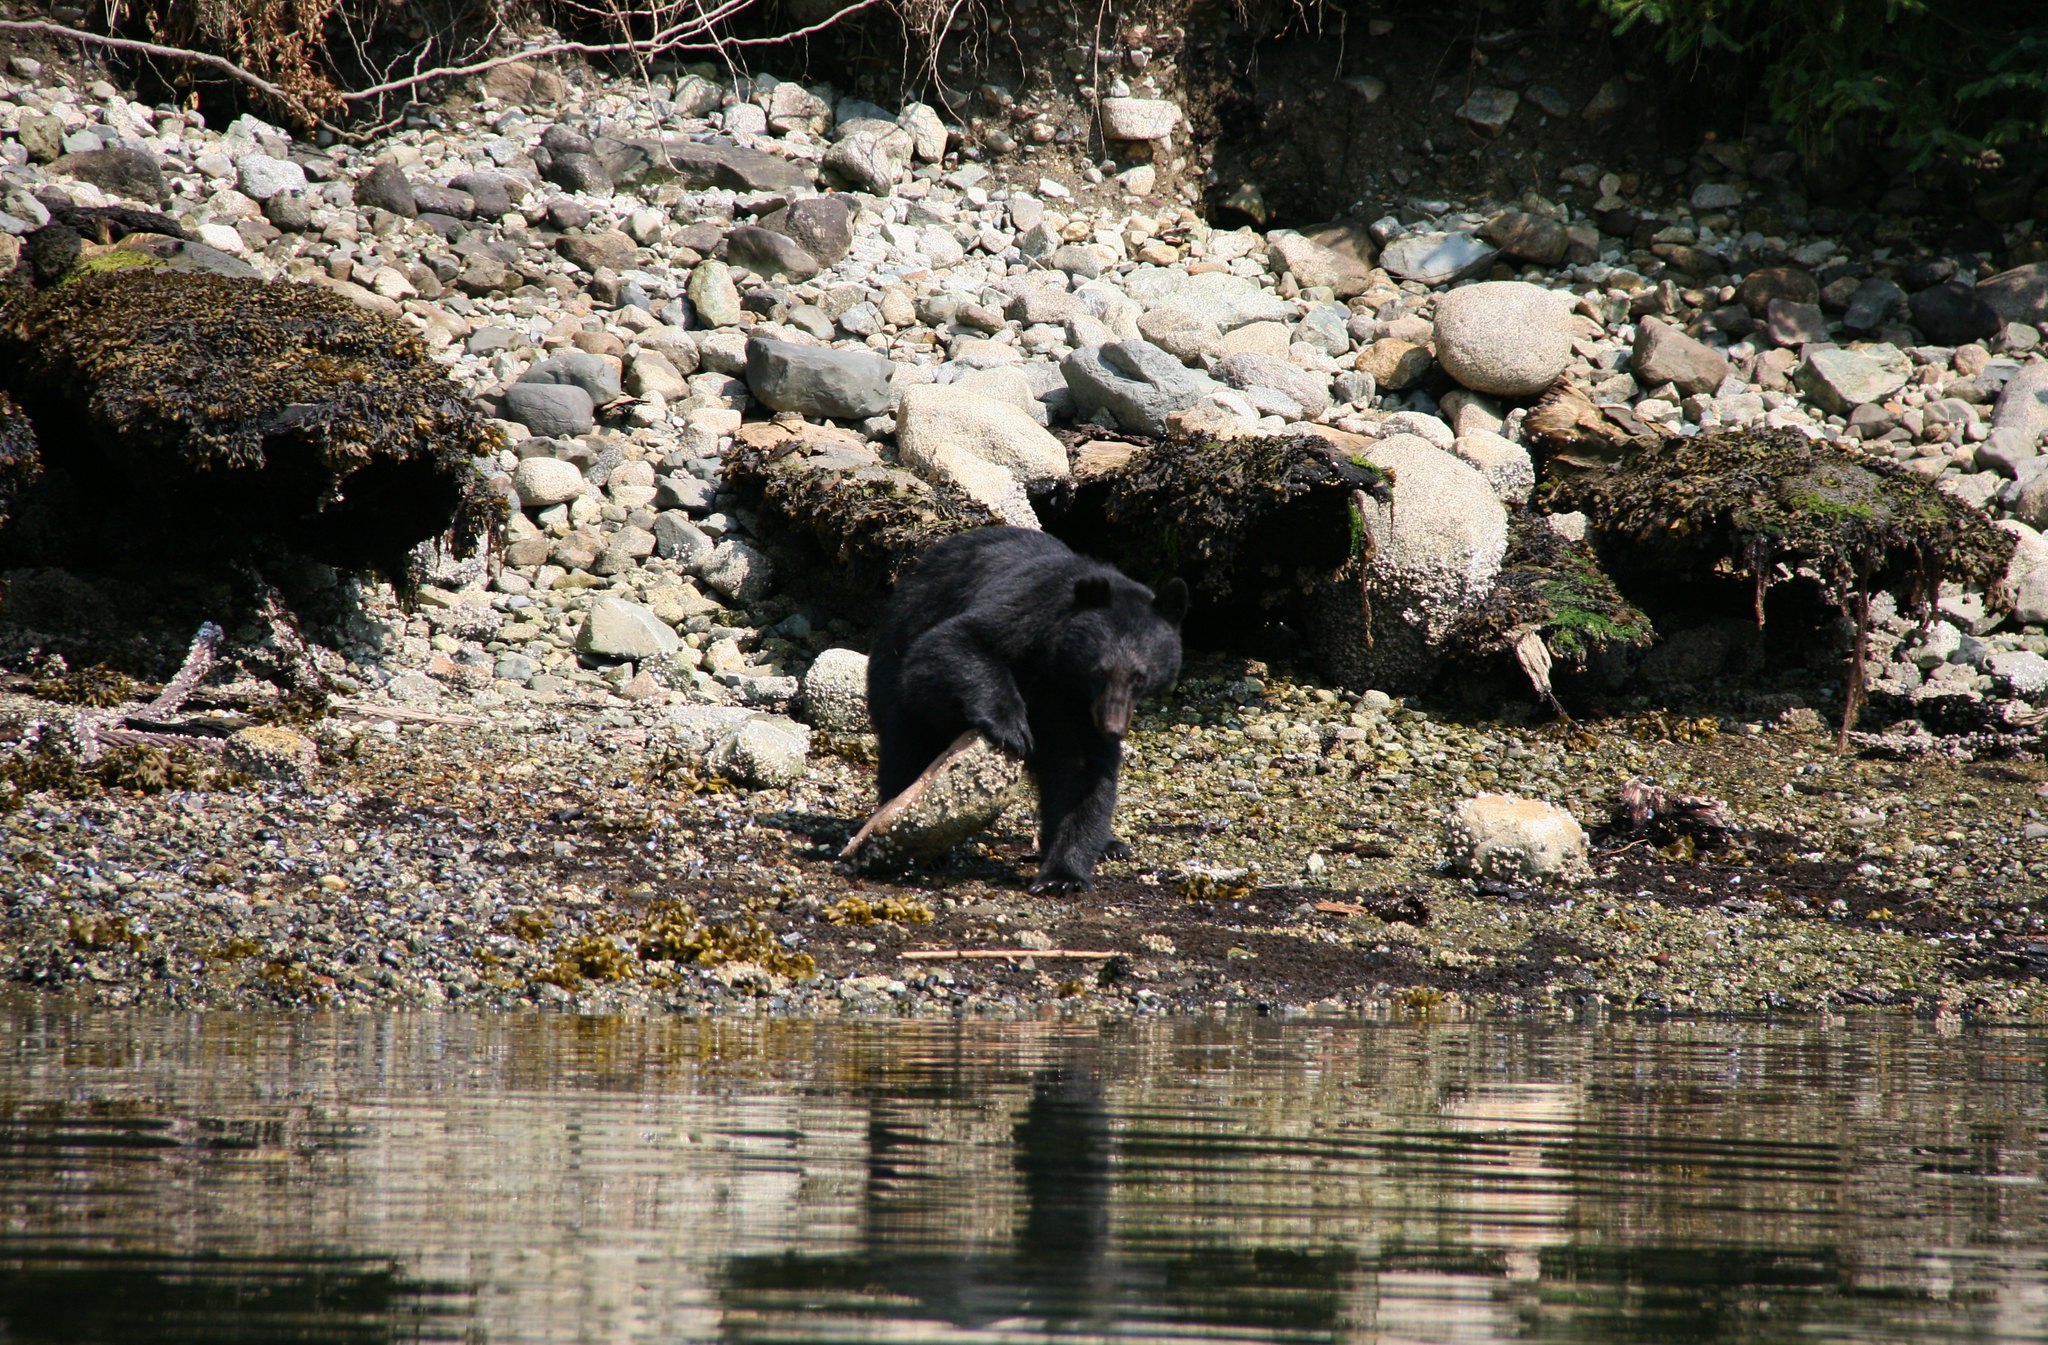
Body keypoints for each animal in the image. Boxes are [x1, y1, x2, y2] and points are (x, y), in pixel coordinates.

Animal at [864, 524, 1187, 892]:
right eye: (1099, 671)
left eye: (1139, 676)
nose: (1113, 727)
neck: (1058, 669)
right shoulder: (1023, 614)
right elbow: (948, 645)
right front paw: (1012, 727)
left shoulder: (1078, 709)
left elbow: (1080, 774)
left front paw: (1062, 875)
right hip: (897, 646)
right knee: (906, 746)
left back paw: (1110, 845)